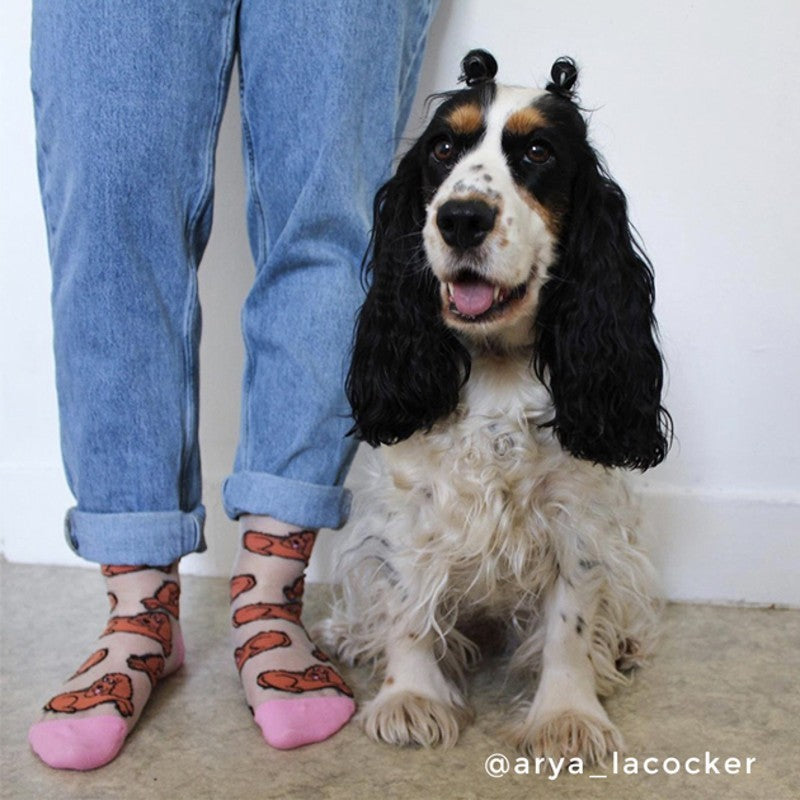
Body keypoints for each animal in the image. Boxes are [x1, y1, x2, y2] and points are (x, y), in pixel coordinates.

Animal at [322, 50, 672, 764]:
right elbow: (406, 602)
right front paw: (411, 699)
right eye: (442, 149)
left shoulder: (577, 511)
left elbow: (570, 621)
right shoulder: (410, 503)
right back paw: (350, 633)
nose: (461, 217)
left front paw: (566, 715)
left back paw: (621, 645)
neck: (497, 365)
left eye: (538, 151)